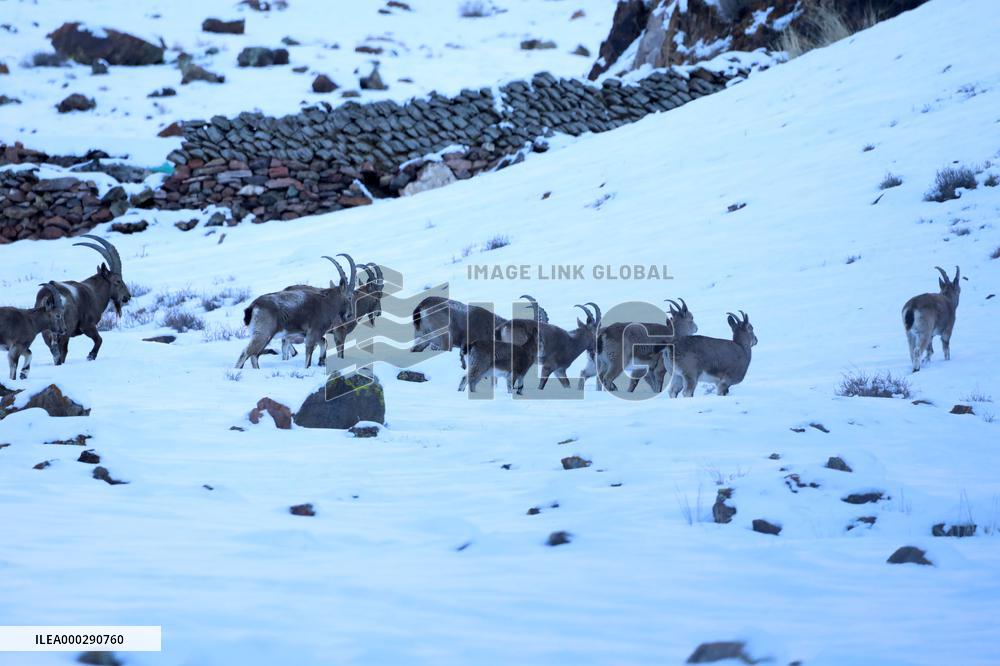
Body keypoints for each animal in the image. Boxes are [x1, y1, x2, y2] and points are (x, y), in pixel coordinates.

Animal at [36, 234, 131, 364]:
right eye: (118, 281)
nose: (128, 296)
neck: (94, 292)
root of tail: (49, 297)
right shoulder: (87, 326)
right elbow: (99, 340)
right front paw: (90, 356)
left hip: (48, 333)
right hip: (64, 330)